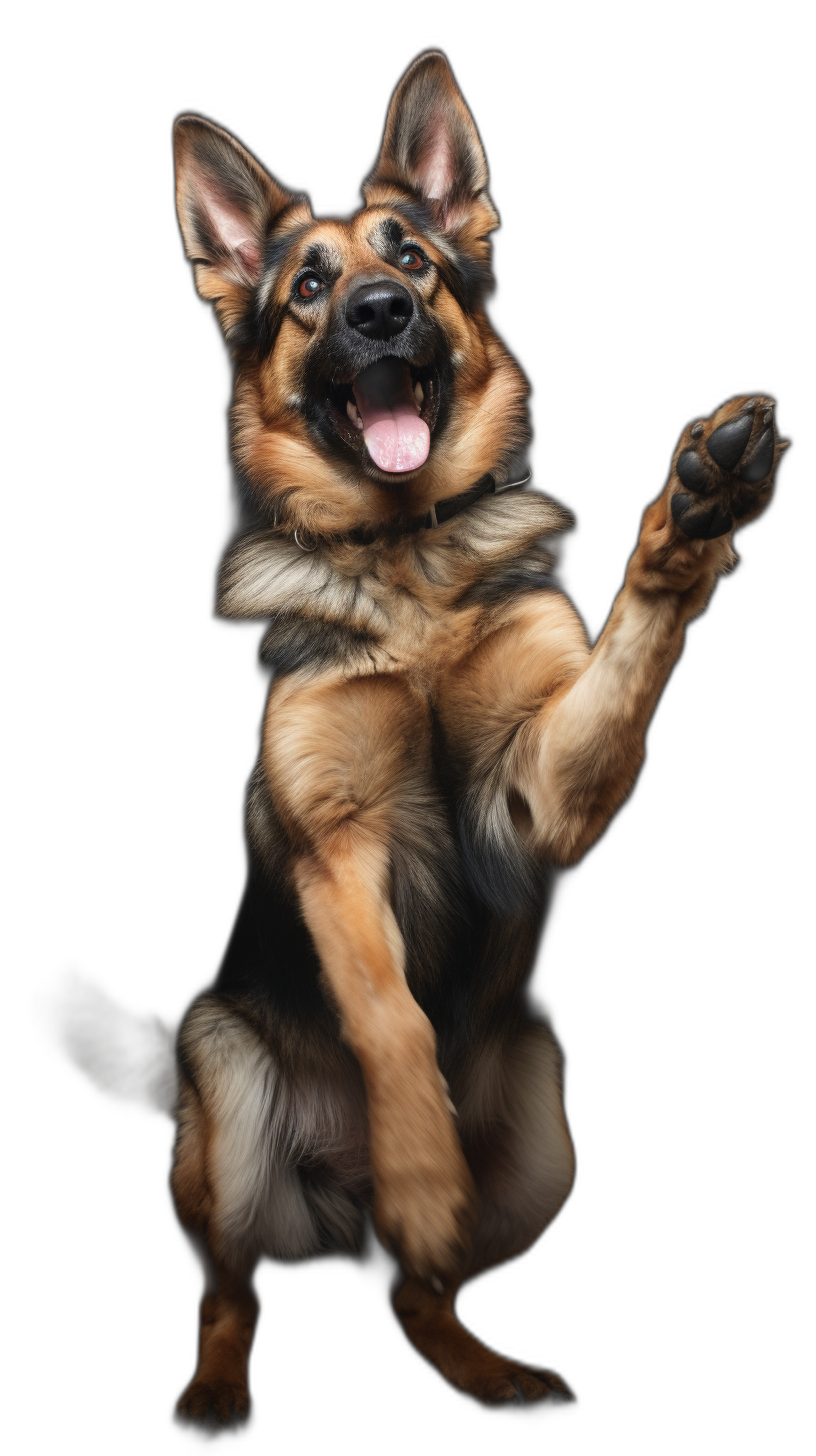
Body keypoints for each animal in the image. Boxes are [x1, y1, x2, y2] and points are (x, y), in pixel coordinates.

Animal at [85, 51, 781, 1426]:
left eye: (412, 255)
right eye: (306, 288)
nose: (377, 311)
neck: (407, 562)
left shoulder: (542, 784)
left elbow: (629, 650)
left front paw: (693, 511)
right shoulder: (335, 846)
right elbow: (387, 1013)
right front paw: (419, 1167)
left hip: (550, 1139)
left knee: (420, 1293)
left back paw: (482, 1357)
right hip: (225, 1098)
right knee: (233, 1288)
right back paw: (225, 1376)